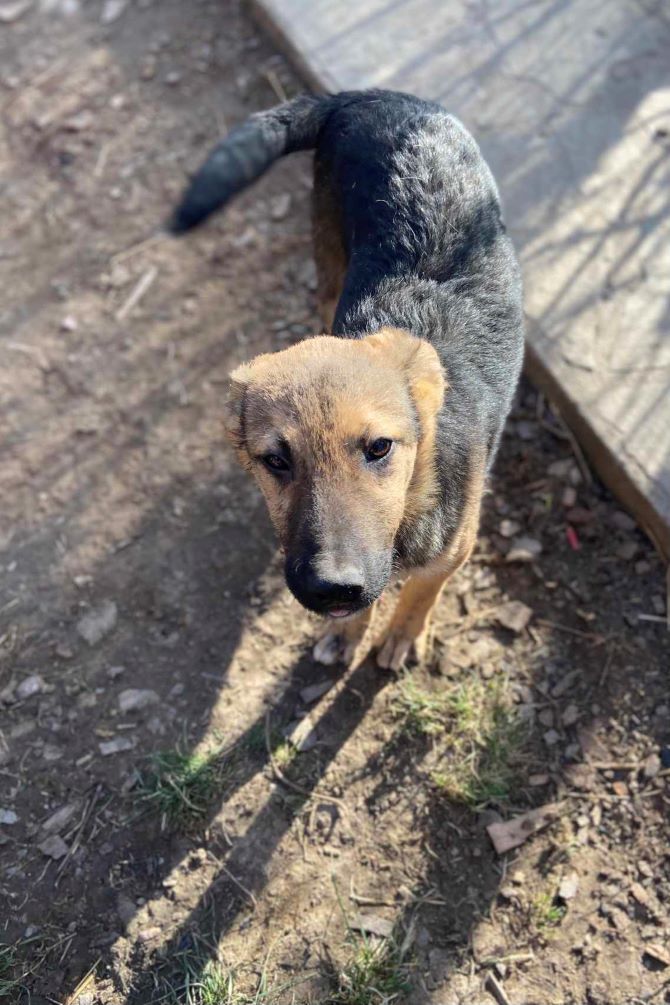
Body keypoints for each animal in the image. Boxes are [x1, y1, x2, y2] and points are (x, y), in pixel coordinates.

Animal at [167, 86, 522, 667]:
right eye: (275, 460)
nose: (331, 590)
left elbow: (423, 590)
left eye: (380, 448)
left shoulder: (456, 547)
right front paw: (352, 631)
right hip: (328, 259)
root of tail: (370, 96)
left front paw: (403, 633)